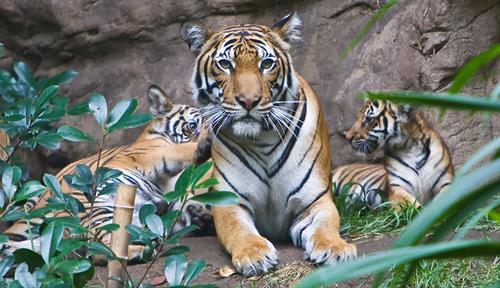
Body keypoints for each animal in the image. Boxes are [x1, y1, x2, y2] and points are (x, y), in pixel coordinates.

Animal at [3, 85, 211, 260]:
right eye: (192, 126)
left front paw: (198, 216)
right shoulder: (152, 154)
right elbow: (179, 151)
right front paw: (203, 147)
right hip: (100, 210)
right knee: (100, 249)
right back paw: (137, 252)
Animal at [182, 12, 358, 276]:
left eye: (266, 64)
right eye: (225, 64)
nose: (248, 101)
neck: (261, 140)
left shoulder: (315, 200)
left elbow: (326, 225)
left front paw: (335, 249)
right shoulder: (230, 201)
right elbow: (238, 230)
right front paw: (254, 254)